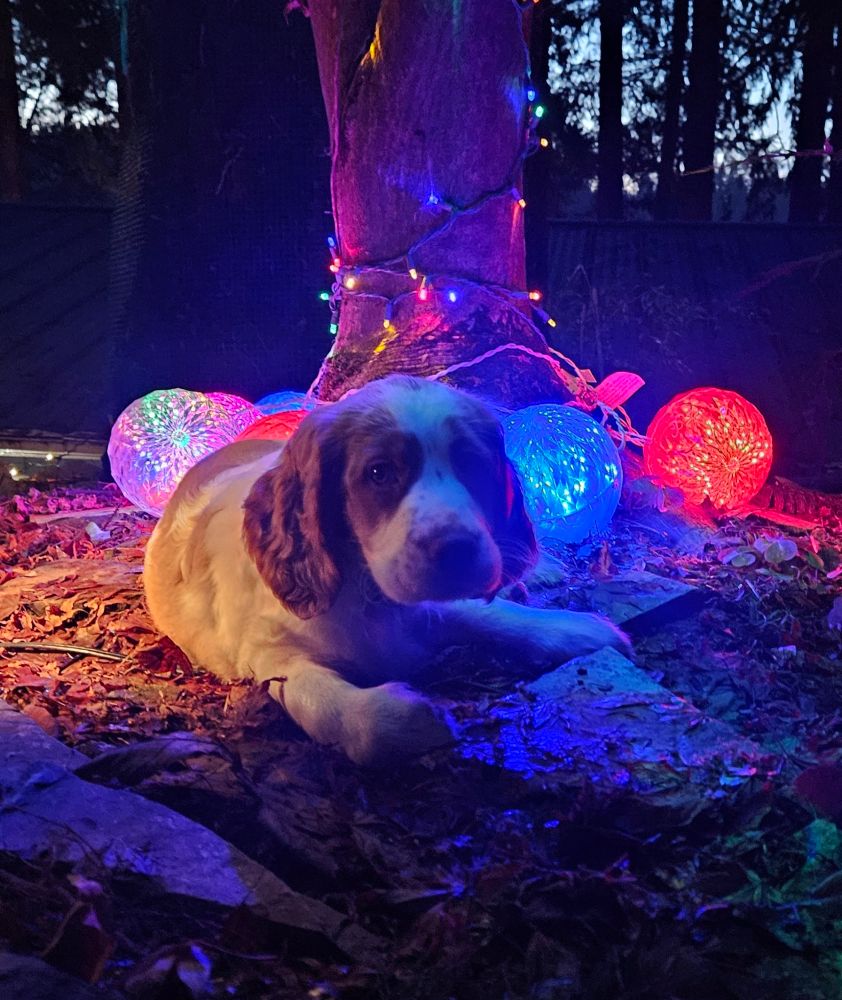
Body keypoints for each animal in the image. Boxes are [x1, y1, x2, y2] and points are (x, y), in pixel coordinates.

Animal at [144, 375, 629, 765]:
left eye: (473, 466)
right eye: (379, 473)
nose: (456, 549)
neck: (366, 594)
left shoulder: (432, 605)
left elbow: (492, 615)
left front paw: (578, 631)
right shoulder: (267, 654)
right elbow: (326, 704)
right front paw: (415, 718)